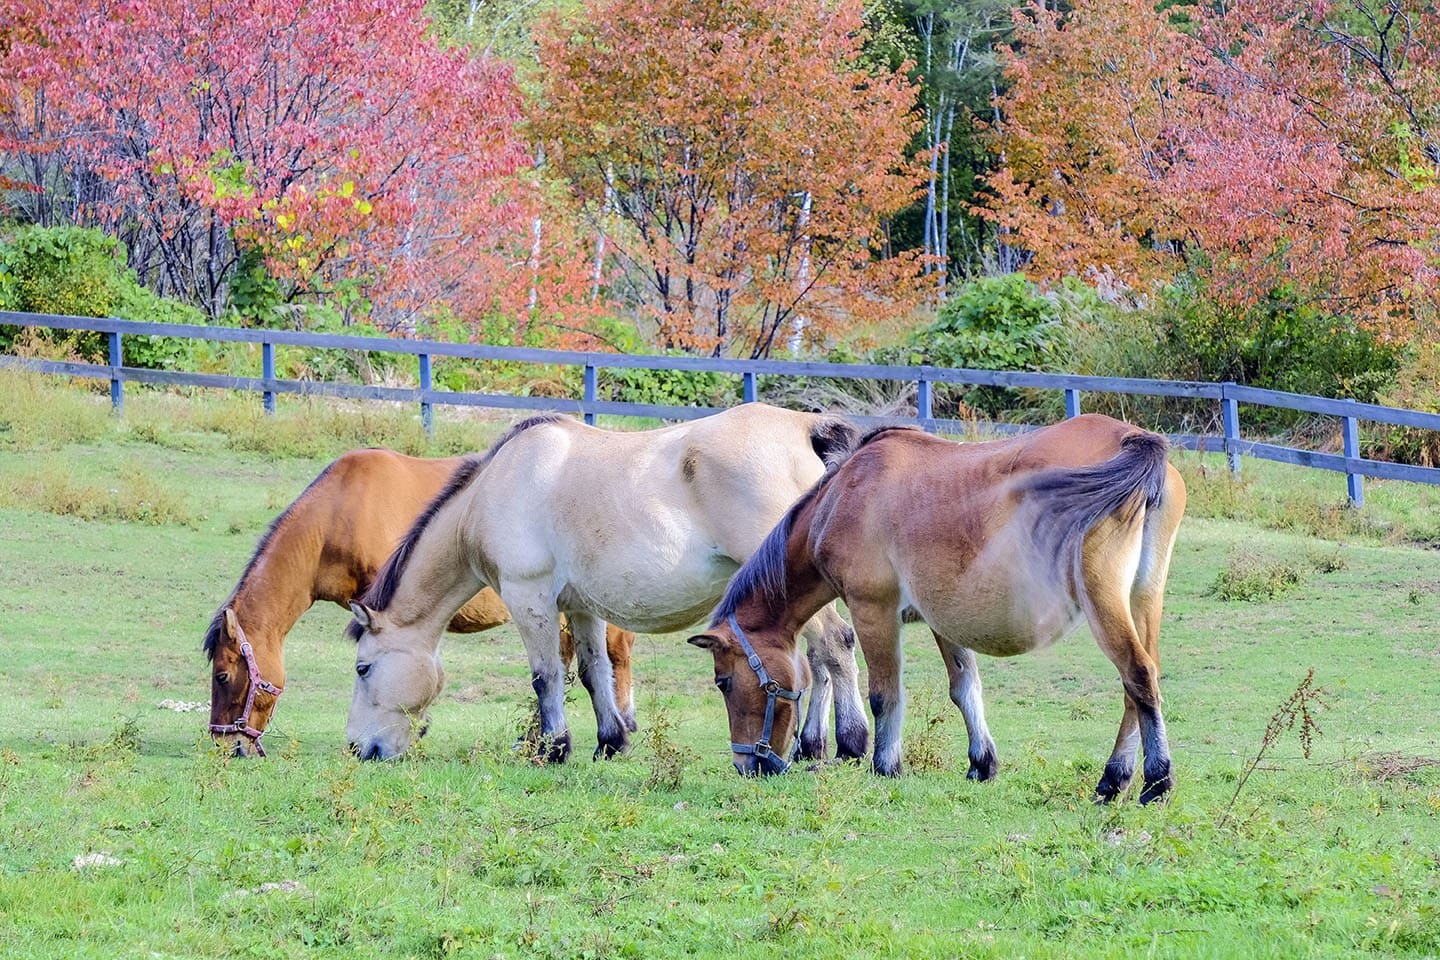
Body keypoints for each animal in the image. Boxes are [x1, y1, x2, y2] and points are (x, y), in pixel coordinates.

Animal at [348, 405, 864, 765]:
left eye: (362, 668)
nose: (357, 749)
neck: (496, 489)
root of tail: (804, 429)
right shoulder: (580, 607)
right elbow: (595, 673)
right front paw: (610, 743)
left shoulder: (529, 596)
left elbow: (546, 675)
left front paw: (552, 748)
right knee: (819, 658)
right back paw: (811, 746)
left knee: (834, 645)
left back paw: (851, 744)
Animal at [691, 417, 1186, 800]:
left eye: (724, 683)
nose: (746, 766)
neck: (846, 493)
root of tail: (1134, 440)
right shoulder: (944, 621)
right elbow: (965, 688)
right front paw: (981, 763)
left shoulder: (873, 610)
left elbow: (884, 694)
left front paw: (885, 765)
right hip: (1143, 602)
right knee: (1139, 684)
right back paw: (1115, 779)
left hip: (1104, 602)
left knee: (1138, 674)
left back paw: (1155, 782)